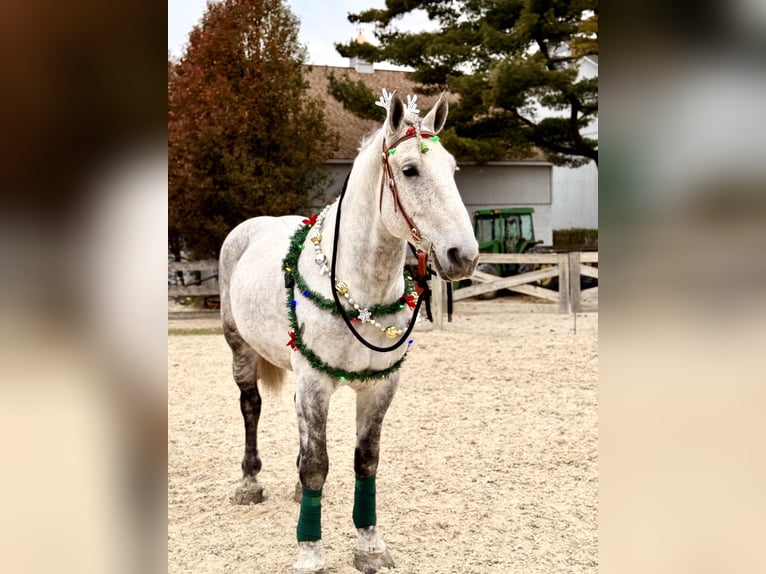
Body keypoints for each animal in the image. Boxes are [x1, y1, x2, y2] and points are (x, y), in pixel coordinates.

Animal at [218, 89, 479, 573]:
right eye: (409, 170)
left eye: (452, 169)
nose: (464, 255)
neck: (359, 287)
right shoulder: (316, 381)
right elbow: (317, 464)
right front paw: (310, 552)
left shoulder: (379, 385)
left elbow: (366, 462)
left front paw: (370, 546)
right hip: (240, 348)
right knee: (251, 407)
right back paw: (249, 482)